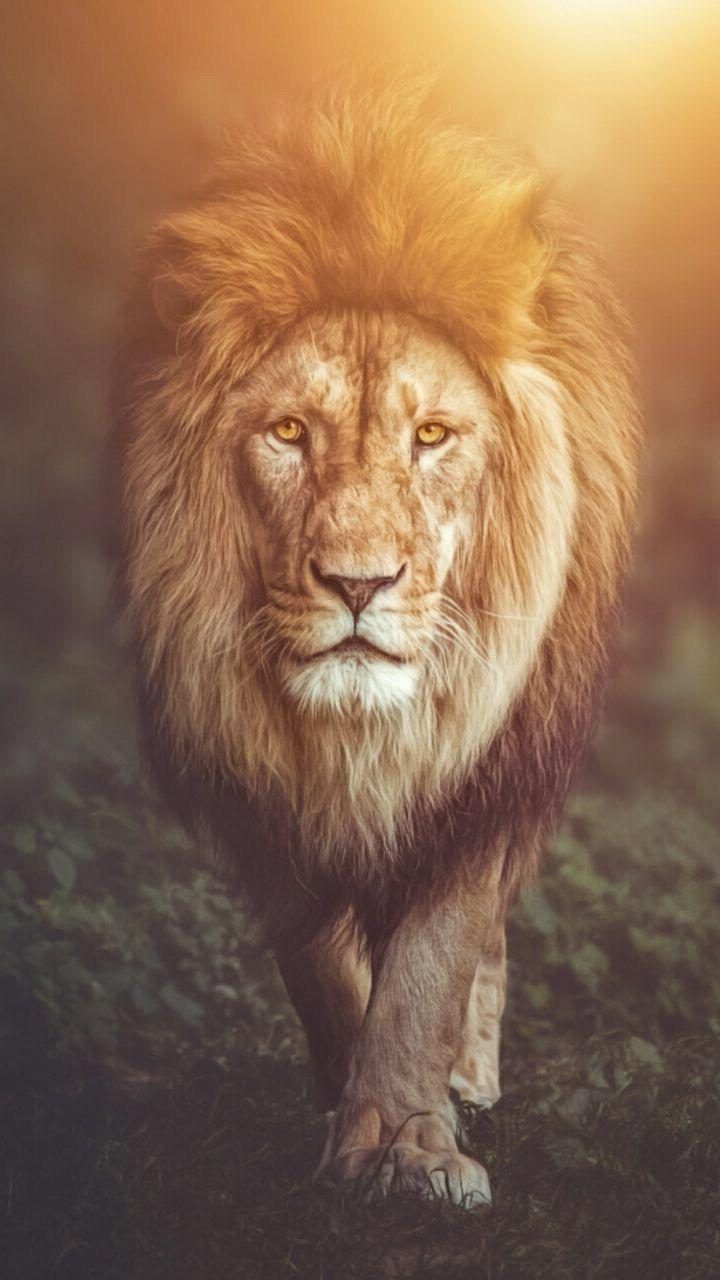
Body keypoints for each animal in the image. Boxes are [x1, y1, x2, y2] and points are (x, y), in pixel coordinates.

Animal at [112, 80, 639, 1207]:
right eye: (288, 432)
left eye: (432, 435)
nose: (359, 585)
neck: (357, 729)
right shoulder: (250, 777)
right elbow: (320, 966)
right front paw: (351, 1109)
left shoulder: (485, 766)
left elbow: (433, 960)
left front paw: (410, 1138)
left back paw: (469, 1075)